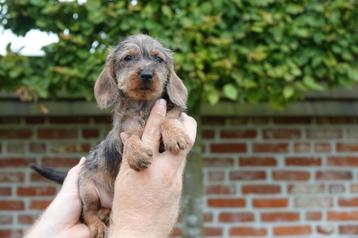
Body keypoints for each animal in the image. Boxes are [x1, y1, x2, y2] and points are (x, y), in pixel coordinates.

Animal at [32, 34, 190, 238]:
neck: (143, 107)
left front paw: (174, 134)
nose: (147, 74)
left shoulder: (171, 112)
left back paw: (106, 213)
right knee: (87, 213)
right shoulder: (123, 131)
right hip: (88, 190)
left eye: (158, 59)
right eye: (128, 58)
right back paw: (98, 224)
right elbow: (130, 137)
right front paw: (136, 154)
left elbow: (168, 117)